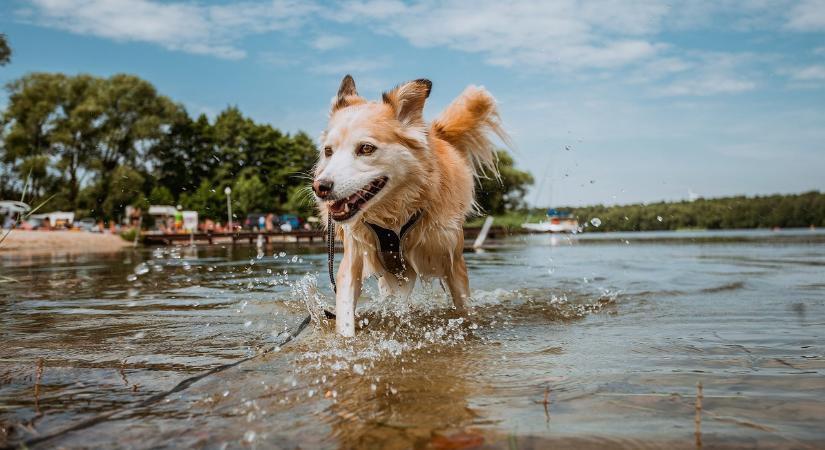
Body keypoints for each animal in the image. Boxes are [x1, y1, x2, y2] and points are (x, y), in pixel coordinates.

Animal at [312, 74, 506, 336]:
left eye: (366, 148)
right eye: (328, 151)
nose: (320, 187)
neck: (393, 214)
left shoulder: (454, 262)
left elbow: (464, 309)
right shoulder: (352, 259)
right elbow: (344, 315)